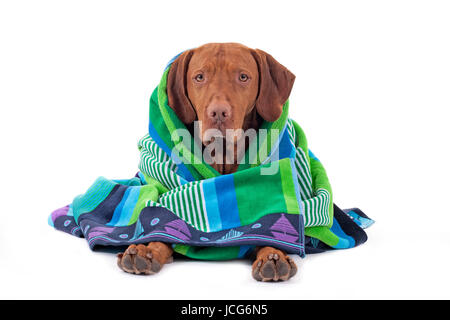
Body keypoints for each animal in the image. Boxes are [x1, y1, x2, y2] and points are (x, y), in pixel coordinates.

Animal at [116, 43, 298, 282]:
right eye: (199, 77)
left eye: (243, 77)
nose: (218, 112)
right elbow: (163, 227)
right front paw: (148, 249)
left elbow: (264, 233)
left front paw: (273, 254)